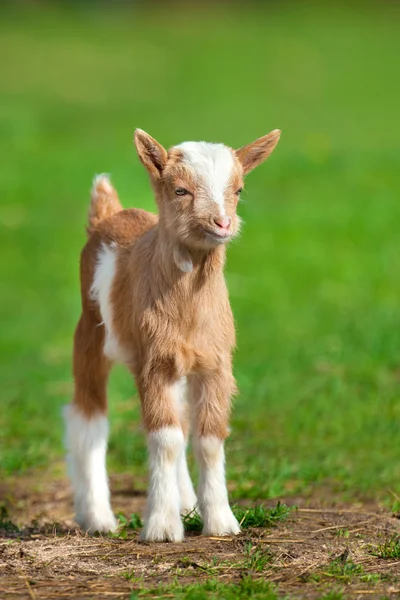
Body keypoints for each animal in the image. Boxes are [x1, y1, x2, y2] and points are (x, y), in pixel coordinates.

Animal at [64, 129, 280, 540]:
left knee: (179, 418)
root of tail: (108, 215)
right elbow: (164, 438)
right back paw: (97, 518)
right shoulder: (154, 362)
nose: (222, 223)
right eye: (180, 190)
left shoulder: (214, 363)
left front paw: (220, 522)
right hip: (90, 333)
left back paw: (186, 503)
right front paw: (162, 527)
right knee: (88, 417)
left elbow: (208, 438)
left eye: (238, 189)